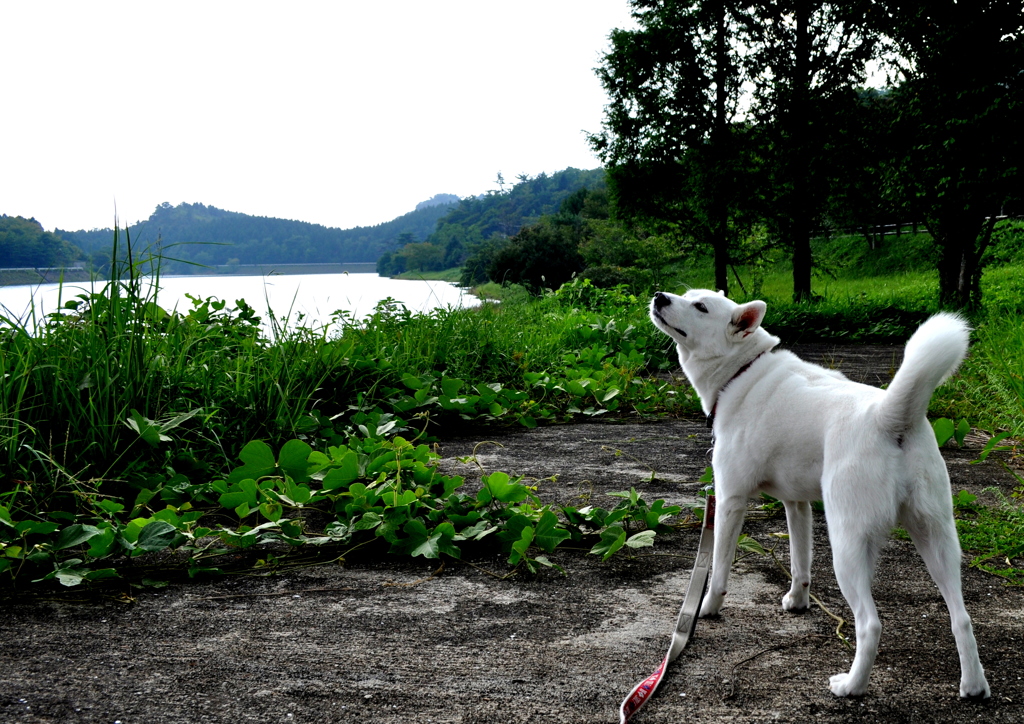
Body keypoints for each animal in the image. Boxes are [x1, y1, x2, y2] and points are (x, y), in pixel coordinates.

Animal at [647, 290, 991, 700]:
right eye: (686, 295)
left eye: (700, 307)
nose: (659, 296)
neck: (743, 370)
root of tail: (889, 417)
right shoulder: (797, 504)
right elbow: (801, 563)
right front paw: (798, 602)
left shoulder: (731, 500)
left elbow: (719, 569)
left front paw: (708, 609)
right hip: (936, 540)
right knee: (962, 617)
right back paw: (973, 685)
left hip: (848, 547)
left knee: (870, 625)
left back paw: (852, 686)